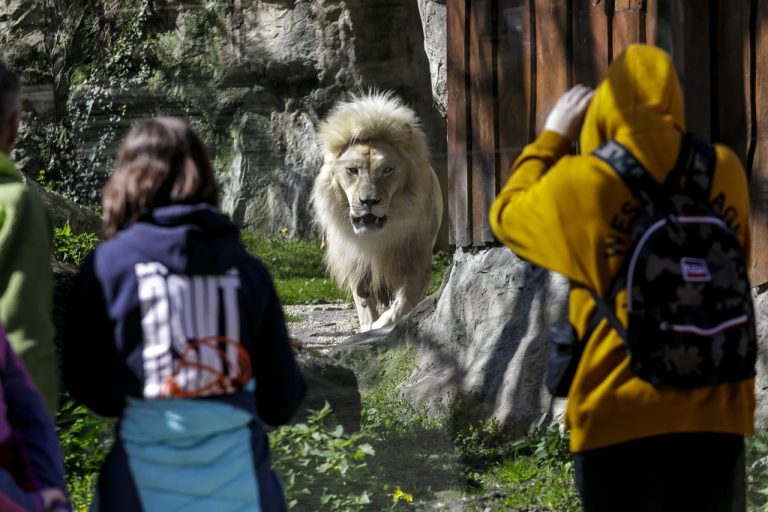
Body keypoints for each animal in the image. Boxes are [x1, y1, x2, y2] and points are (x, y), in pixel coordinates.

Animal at [312, 92, 444, 332]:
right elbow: (364, 303)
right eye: (352, 170)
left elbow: (403, 303)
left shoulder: (417, 263)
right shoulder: (357, 267)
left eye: (387, 170)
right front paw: (368, 327)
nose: (369, 201)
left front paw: (381, 324)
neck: (378, 238)